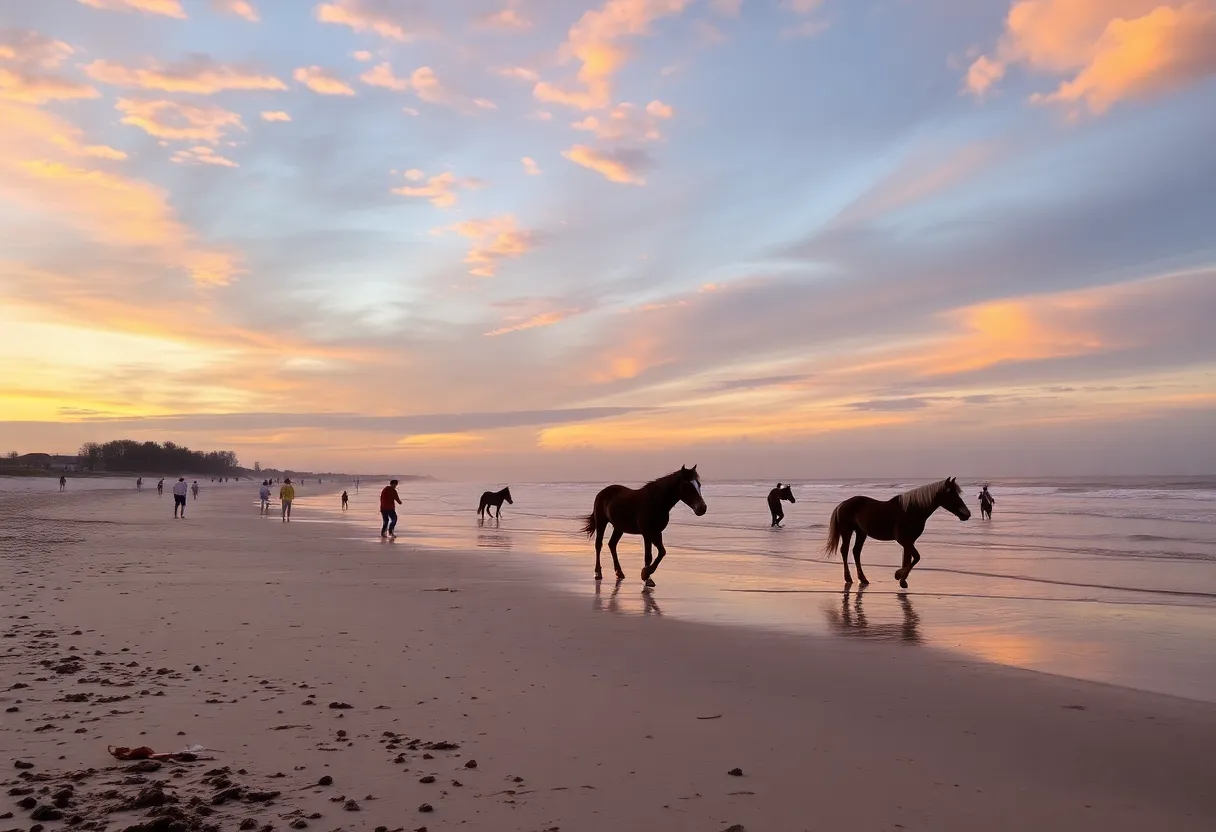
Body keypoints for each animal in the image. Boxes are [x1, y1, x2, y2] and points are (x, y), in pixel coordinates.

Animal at [823, 477, 970, 588]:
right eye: (951, 493)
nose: (966, 514)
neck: (911, 510)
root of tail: (842, 504)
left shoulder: (909, 541)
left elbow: (908, 559)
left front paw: (903, 580)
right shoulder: (903, 539)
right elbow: (916, 557)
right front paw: (898, 575)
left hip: (861, 533)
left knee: (856, 551)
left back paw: (863, 579)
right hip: (847, 531)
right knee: (845, 550)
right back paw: (848, 578)